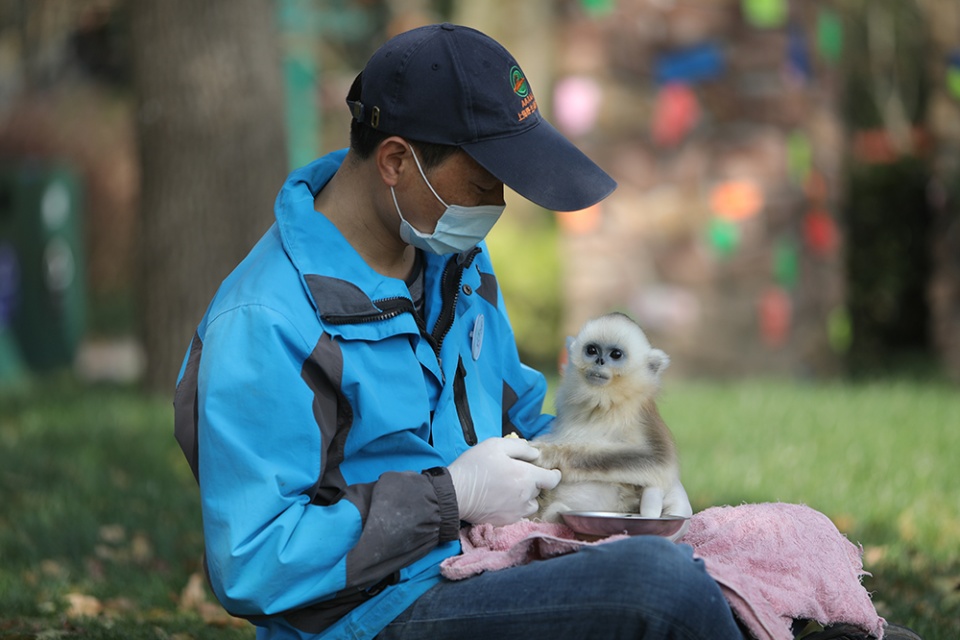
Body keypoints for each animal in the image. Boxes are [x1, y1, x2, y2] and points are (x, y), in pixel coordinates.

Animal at [528, 312, 680, 524]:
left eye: (615, 354)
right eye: (592, 350)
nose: (599, 361)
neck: (602, 403)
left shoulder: (642, 415)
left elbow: (658, 461)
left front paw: (548, 453)